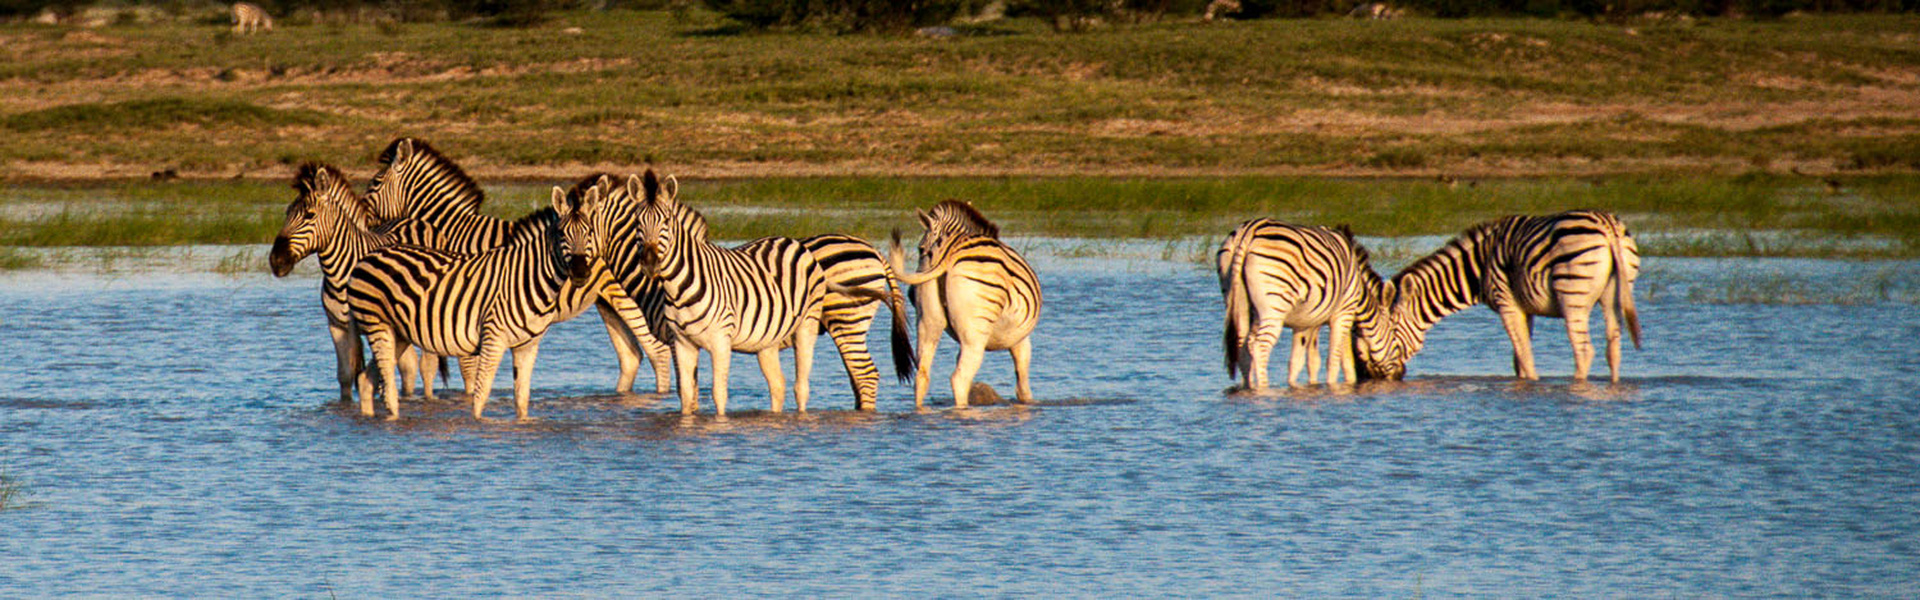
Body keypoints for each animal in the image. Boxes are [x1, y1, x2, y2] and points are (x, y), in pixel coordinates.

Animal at [347, 185, 599, 419]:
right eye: (562, 234)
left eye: (589, 233)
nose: (580, 273)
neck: (528, 276)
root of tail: (367, 257)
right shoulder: (493, 337)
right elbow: (481, 394)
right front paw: (479, 425)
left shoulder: (527, 345)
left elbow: (522, 398)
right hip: (376, 324)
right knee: (388, 387)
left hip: (398, 333)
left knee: (365, 380)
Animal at [360, 138, 675, 396]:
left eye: (374, 183)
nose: (362, 222)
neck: (455, 233)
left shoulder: (461, 310)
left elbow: (467, 370)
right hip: (606, 302)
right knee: (632, 355)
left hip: (630, 297)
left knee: (658, 352)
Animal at [887, 200, 1044, 407]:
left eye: (920, 250)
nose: (911, 295)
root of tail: (948, 250)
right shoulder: (1019, 339)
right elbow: (1022, 385)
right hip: (975, 335)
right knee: (959, 379)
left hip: (928, 321)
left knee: (922, 376)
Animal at [1213, 218, 1382, 392]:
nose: (1391, 379)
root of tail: (1247, 231)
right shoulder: (1343, 312)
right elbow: (1335, 358)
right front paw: (1336, 387)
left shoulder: (1307, 322)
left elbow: (1305, 361)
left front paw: (1304, 387)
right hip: (1273, 308)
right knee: (1260, 347)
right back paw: (1263, 388)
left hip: (1237, 301)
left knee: (1242, 346)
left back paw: (1248, 387)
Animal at [1351, 208, 1651, 382]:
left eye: (1382, 332)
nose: (1370, 377)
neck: (1478, 266)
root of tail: (1608, 227)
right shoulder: (1525, 307)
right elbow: (1518, 357)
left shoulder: (1507, 303)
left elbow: (1524, 354)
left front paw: (1531, 383)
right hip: (1614, 293)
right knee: (1613, 349)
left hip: (1572, 294)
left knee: (1584, 350)